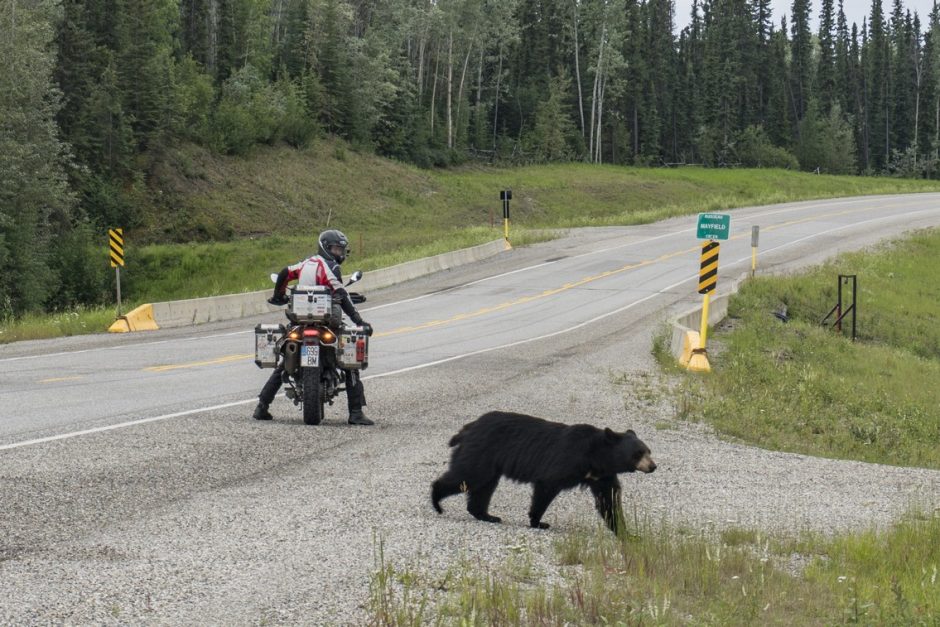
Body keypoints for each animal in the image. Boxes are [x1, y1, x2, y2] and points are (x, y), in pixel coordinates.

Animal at [432, 412, 656, 536]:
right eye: (638, 453)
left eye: (648, 451)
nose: (653, 466)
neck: (596, 457)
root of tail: (468, 428)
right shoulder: (568, 460)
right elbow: (547, 485)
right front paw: (538, 522)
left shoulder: (602, 476)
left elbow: (608, 501)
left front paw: (626, 532)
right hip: (482, 452)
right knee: (468, 476)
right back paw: (437, 502)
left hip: (488, 461)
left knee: (483, 486)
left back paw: (487, 515)